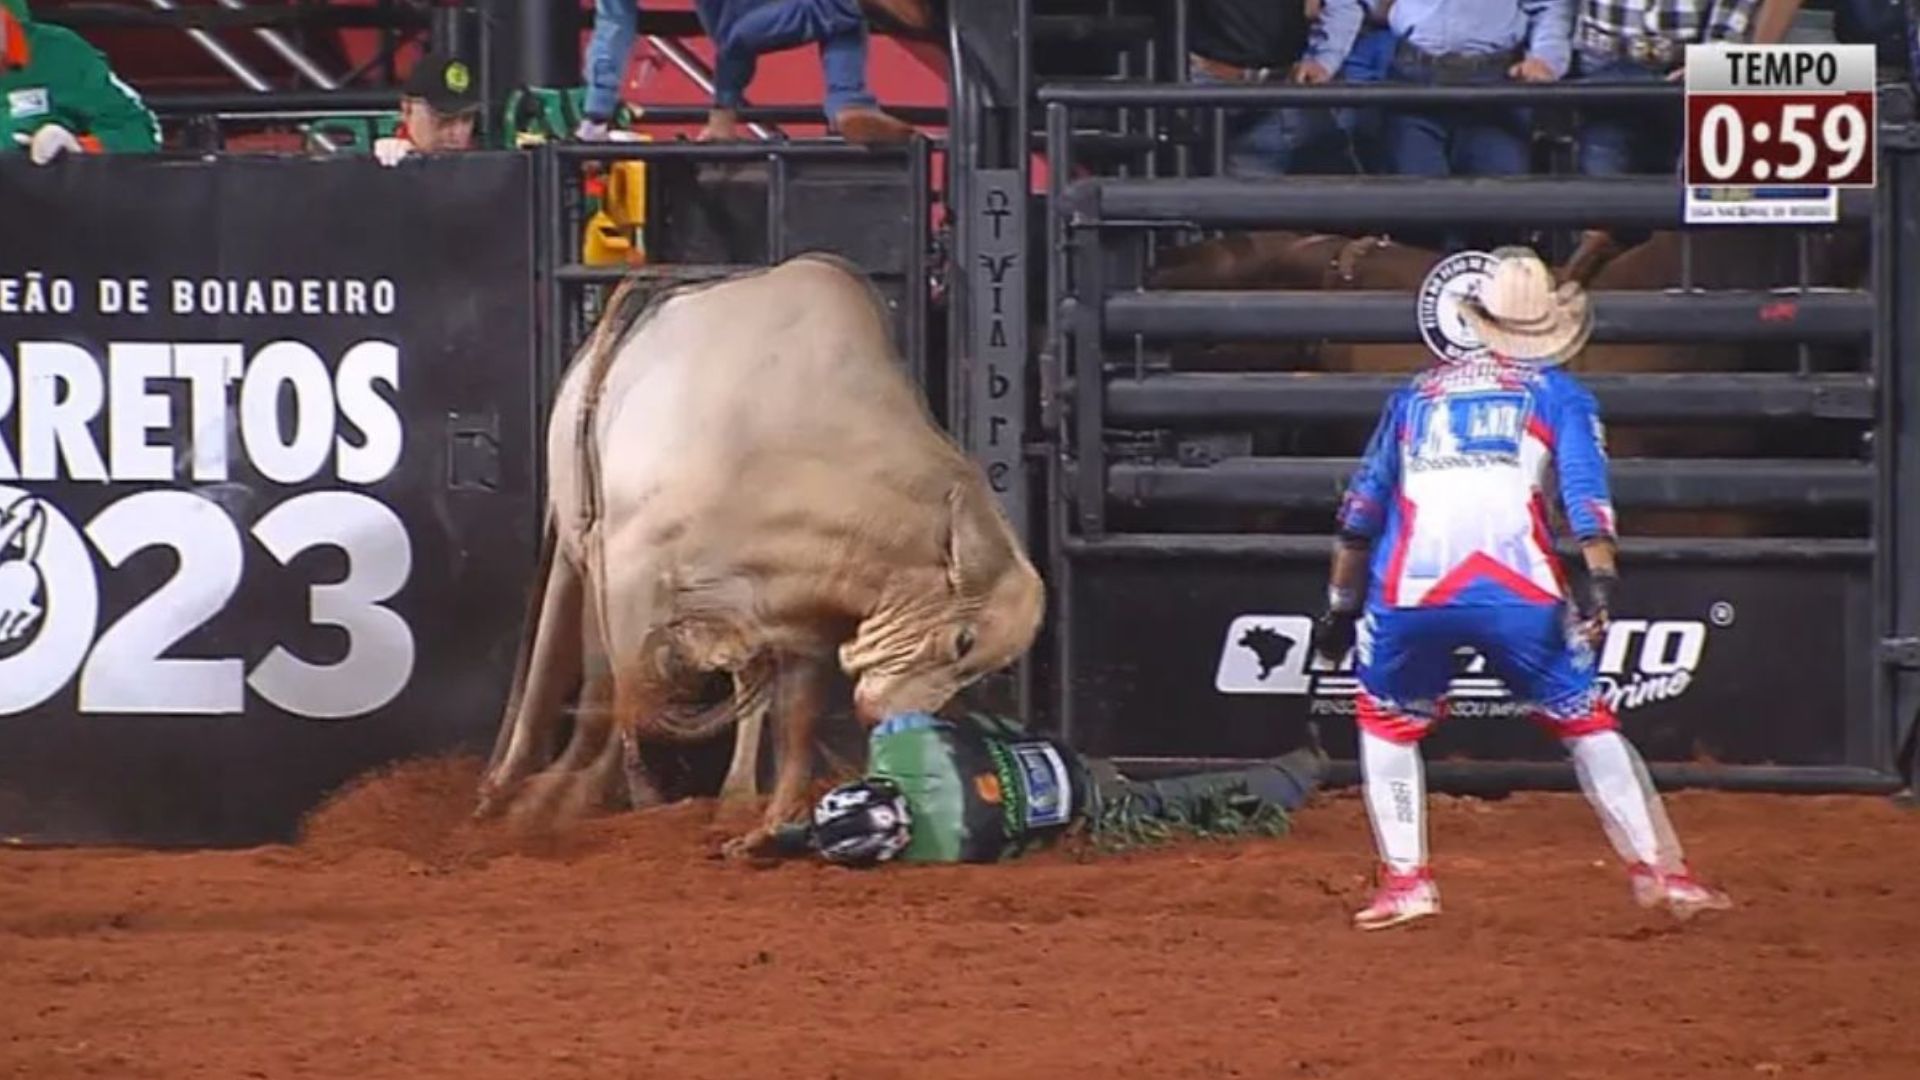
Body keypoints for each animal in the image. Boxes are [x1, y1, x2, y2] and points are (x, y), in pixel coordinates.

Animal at [480, 251, 1052, 849]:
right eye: (963, 641)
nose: (889, 720)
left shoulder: (799, 610)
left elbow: (792, 716)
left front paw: (769, 825)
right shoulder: (628, 571)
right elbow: (624, 699)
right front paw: (565, 800)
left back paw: (731, 796)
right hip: (576, 543)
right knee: (569, 655)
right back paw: (512, 781)